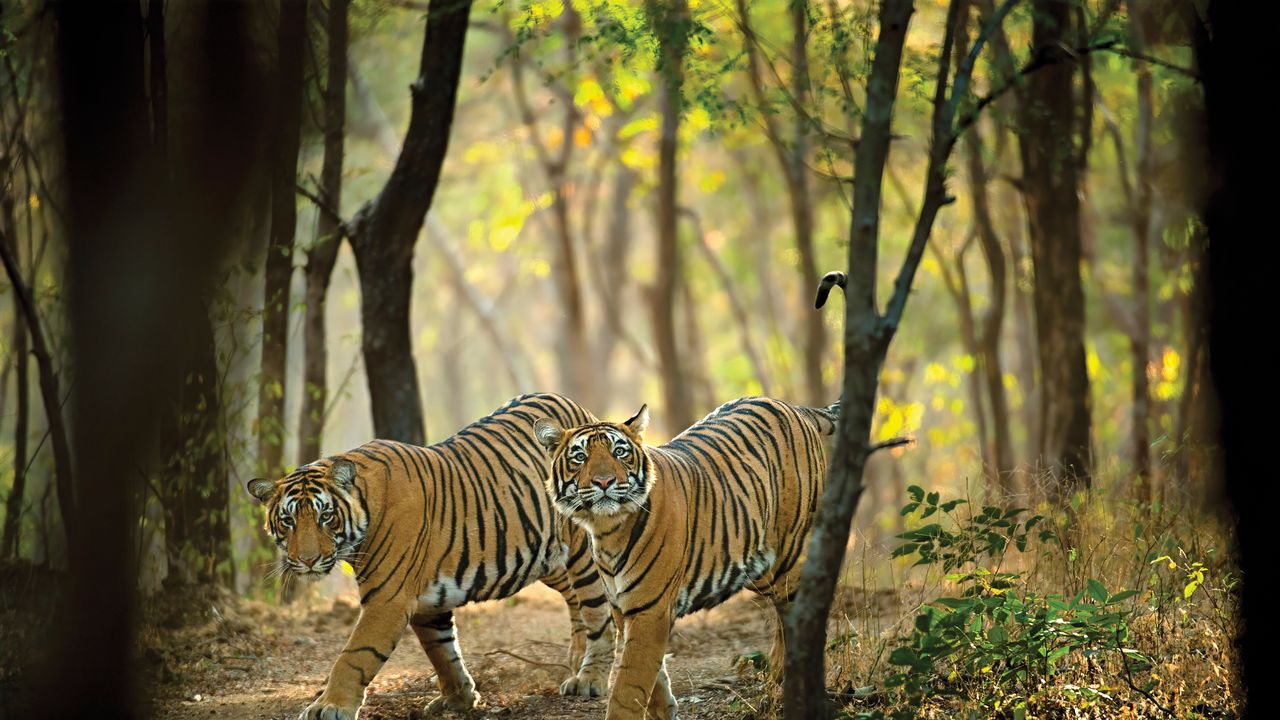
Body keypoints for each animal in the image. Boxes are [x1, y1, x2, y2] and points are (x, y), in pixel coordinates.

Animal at [246, 393, 616, 720]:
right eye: (288, 521)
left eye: (326, 516)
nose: (307, 560)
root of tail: (580, 410)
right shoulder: (427, 601)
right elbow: (442, 652)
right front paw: (459, 699)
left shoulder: (388, 600)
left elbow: (354, 656)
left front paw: (328, 706)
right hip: (547, 558)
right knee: (576, 602)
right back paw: (576, 659)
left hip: (582, 554)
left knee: (600, 613)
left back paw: (590, 679)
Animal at [533, 397, 838, 719]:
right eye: (579, 457)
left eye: (619, 452)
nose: (604, 481)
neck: (606, 528)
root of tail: (793, 407)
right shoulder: (622, 606)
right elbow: (652, 678)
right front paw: (665, 710)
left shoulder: (649, 608)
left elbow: (628, 685)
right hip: (758, 567)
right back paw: (779, 673)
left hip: (789, 557)